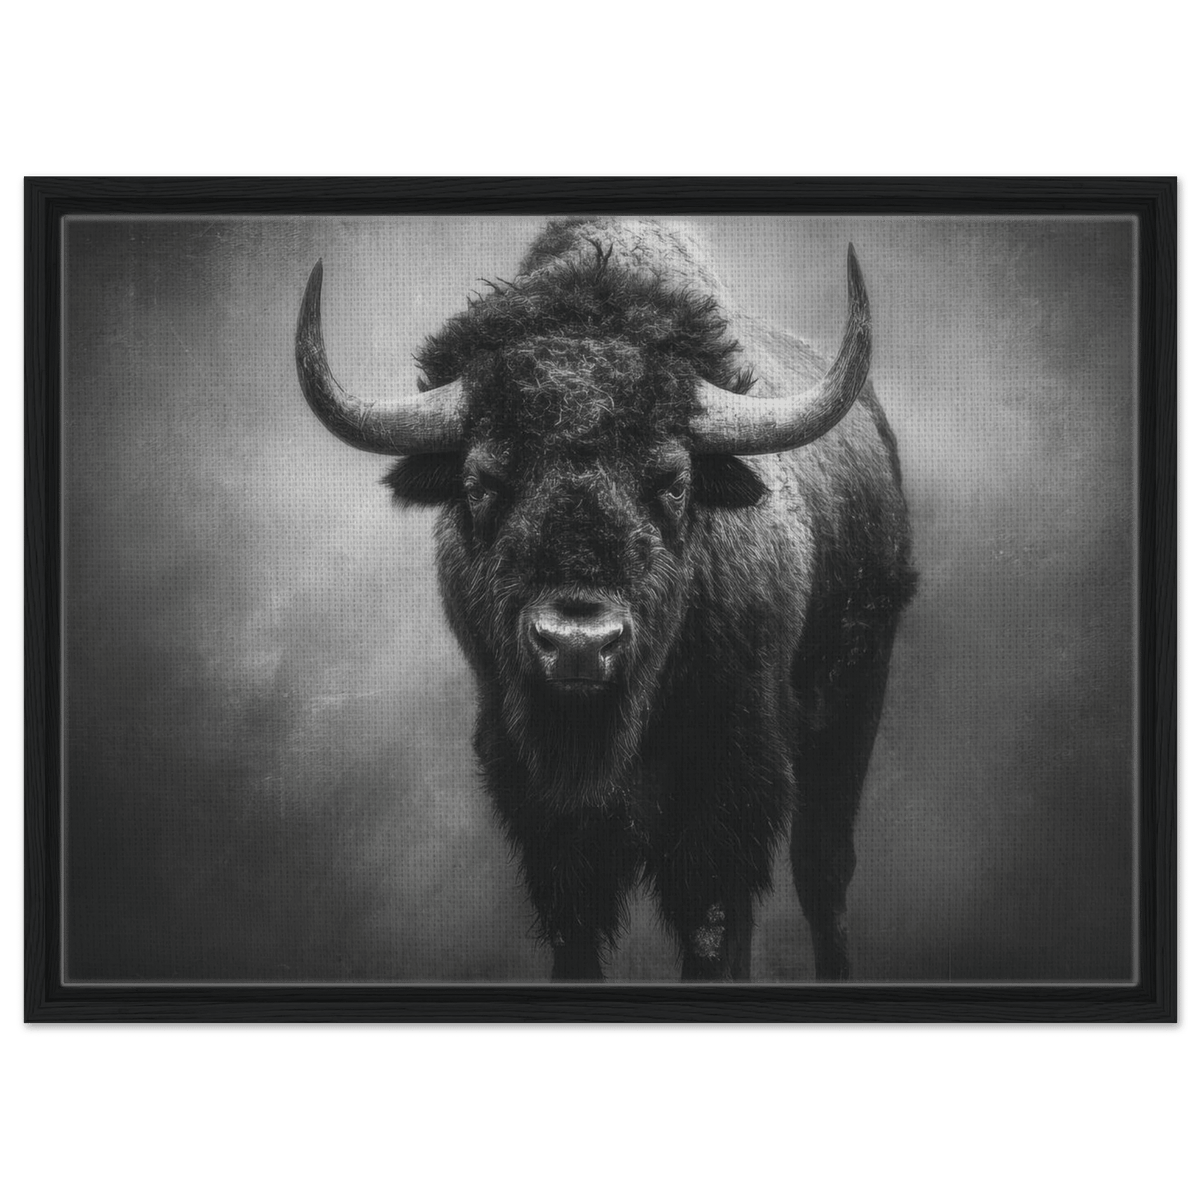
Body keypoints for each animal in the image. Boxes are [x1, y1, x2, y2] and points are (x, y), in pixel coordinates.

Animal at [295, 217, 916, 982]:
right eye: (481, 481)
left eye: (673, 480)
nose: (577, 644)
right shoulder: (538, 801)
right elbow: (577, 926)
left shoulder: (728, 782)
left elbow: (711, 921)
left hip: (851, 704)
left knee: (822, 873)